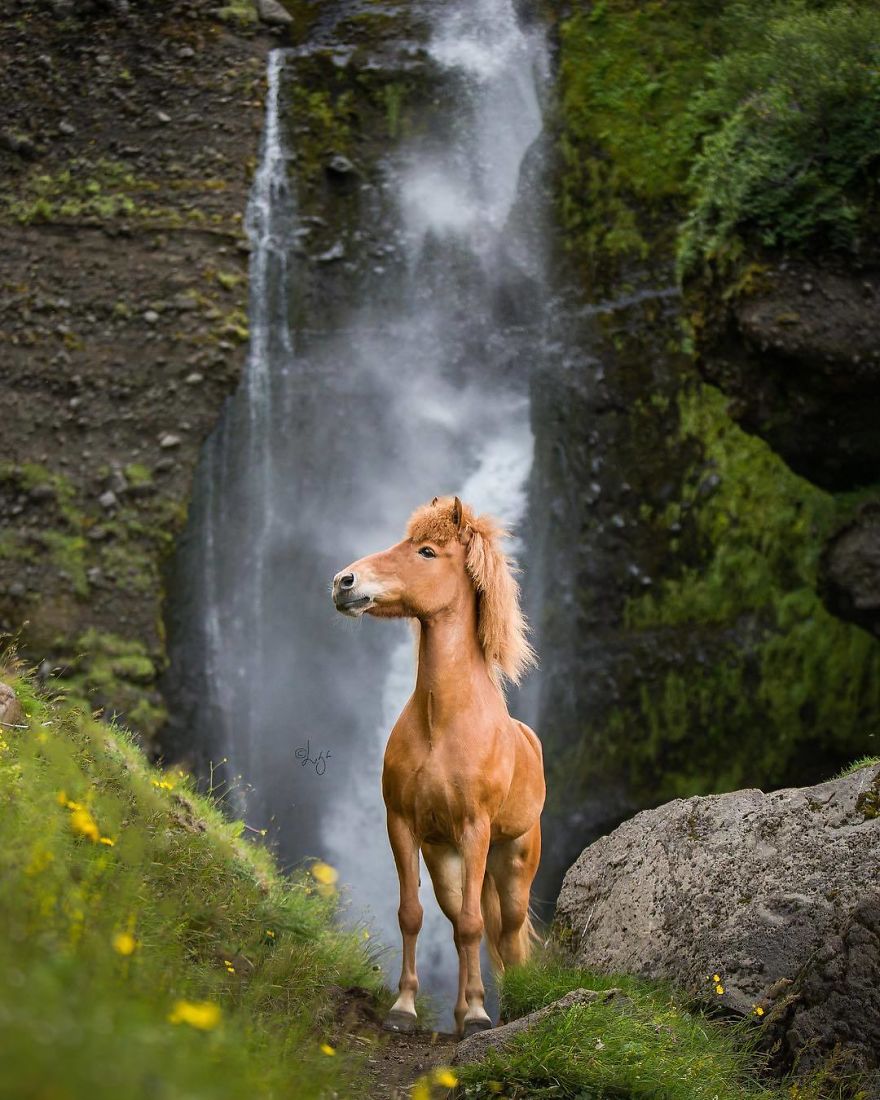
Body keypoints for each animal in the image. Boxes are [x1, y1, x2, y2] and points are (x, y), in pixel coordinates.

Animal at [331, 495, 545, 1037]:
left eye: (427, 551)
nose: (344, 582)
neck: (442, 723)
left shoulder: (475, 829)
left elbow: (474, 926)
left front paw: (479, 1016)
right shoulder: (401, 826)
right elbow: (412, 914)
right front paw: (404, 1009)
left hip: (511, 861)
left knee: (507, 934)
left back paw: (500, 1009)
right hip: (446, 860)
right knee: (459, 923)